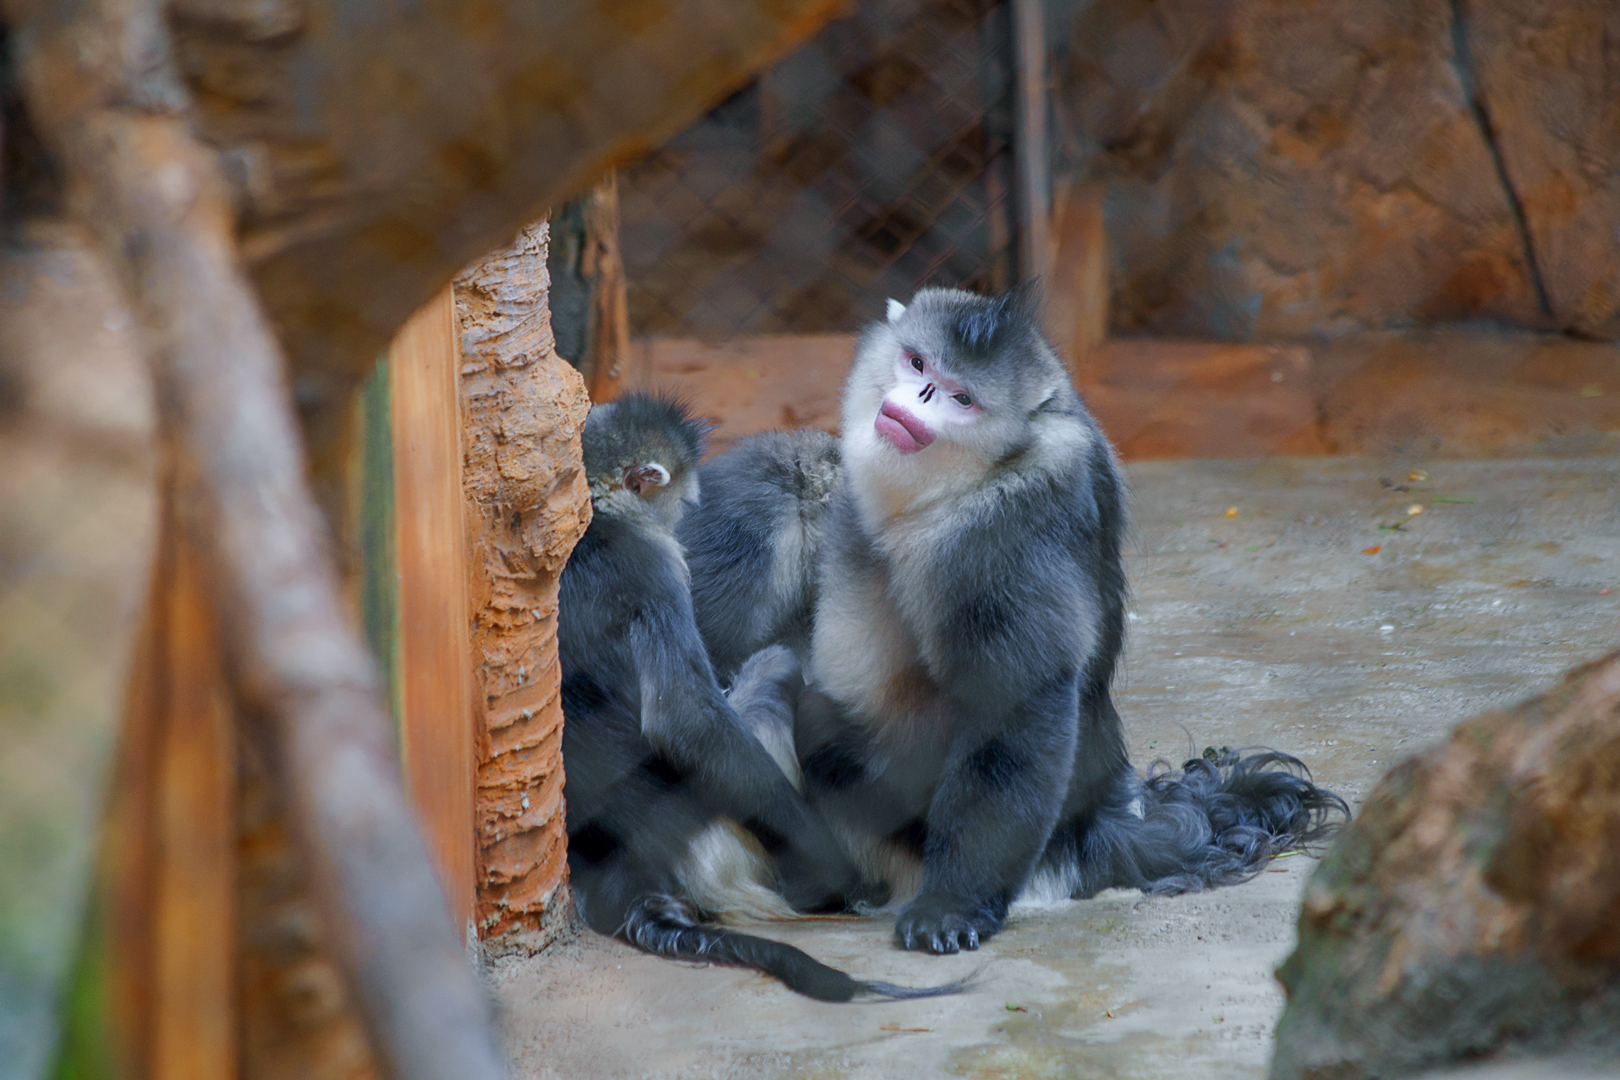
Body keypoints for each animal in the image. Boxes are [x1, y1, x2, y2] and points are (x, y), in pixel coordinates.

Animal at [677, 286, 1347, 955]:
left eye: (963, 399)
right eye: (917, 364)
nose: (922, 396)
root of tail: (1093, 839)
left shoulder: (1004, 531)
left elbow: (1020, 703)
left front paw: (952, 907)